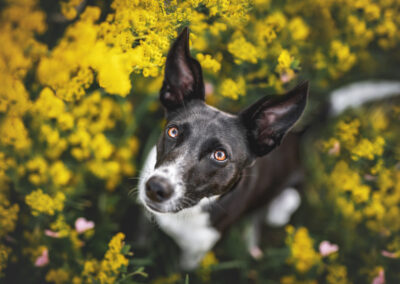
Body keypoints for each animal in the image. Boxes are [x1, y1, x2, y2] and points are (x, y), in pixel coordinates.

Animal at [138, 27, 400, 270]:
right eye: (173, 131)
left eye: (220, 155)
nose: (156, 188)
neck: (187, 211)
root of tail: (297, 137)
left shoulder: (194, 252)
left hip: (285, 205)